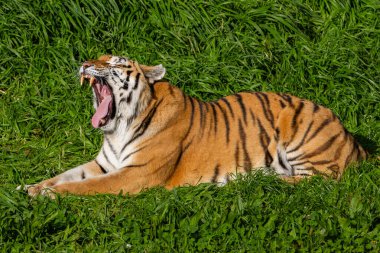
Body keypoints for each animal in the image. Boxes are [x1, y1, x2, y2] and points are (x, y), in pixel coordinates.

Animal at [24, 53, 368, 198]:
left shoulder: (135, 175)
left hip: (301, 134)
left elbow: (85, 186)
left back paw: (255, 180)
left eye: (115, 62)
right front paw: (32, 187)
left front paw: (49, 194)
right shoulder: (105, 164)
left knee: (320, 182)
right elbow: (68, 174)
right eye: (96, 56)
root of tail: (352, 138)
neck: (118, 127)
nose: (84, 64)